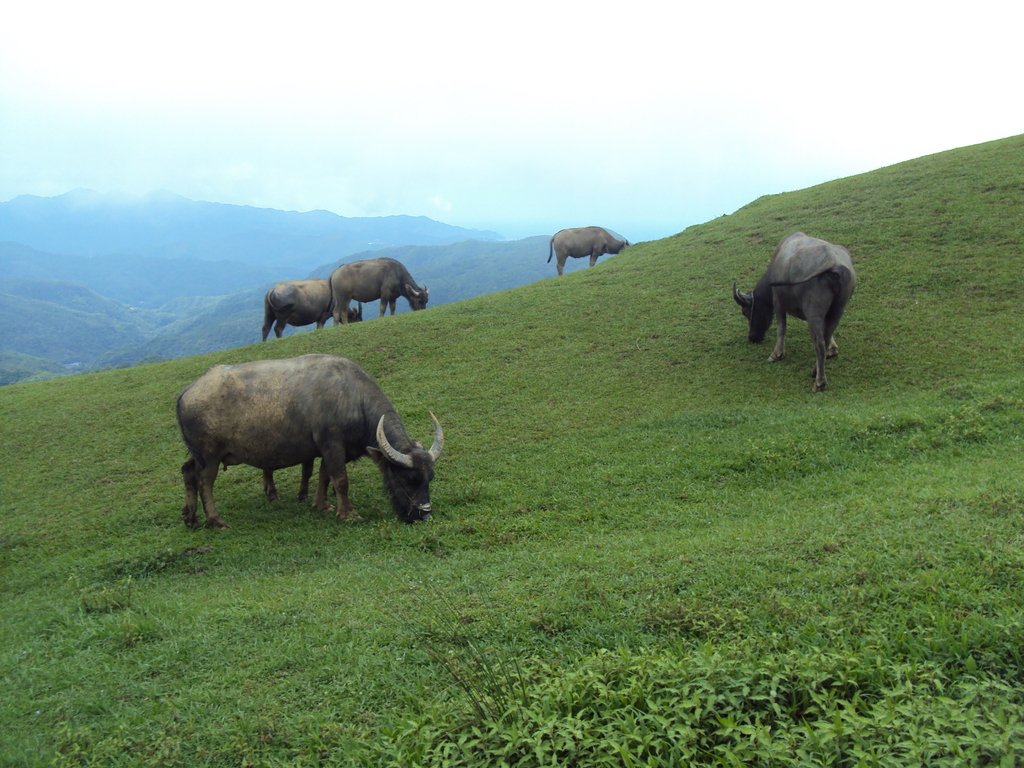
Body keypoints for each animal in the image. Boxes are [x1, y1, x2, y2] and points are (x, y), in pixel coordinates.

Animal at [175, 354, 444, 528]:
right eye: (408, 479)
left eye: (429, 478)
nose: (424, 515)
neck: (353, 398)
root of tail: (187, 391)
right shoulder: (332, 445)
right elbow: (340, 480)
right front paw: (348, 514)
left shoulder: (328, 449)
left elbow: (325, 476)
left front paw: (322, 505)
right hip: (210, 456)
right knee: (205, 482)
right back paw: (214, 520)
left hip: (198, 454)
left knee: (188, 471)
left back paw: (190, 517)